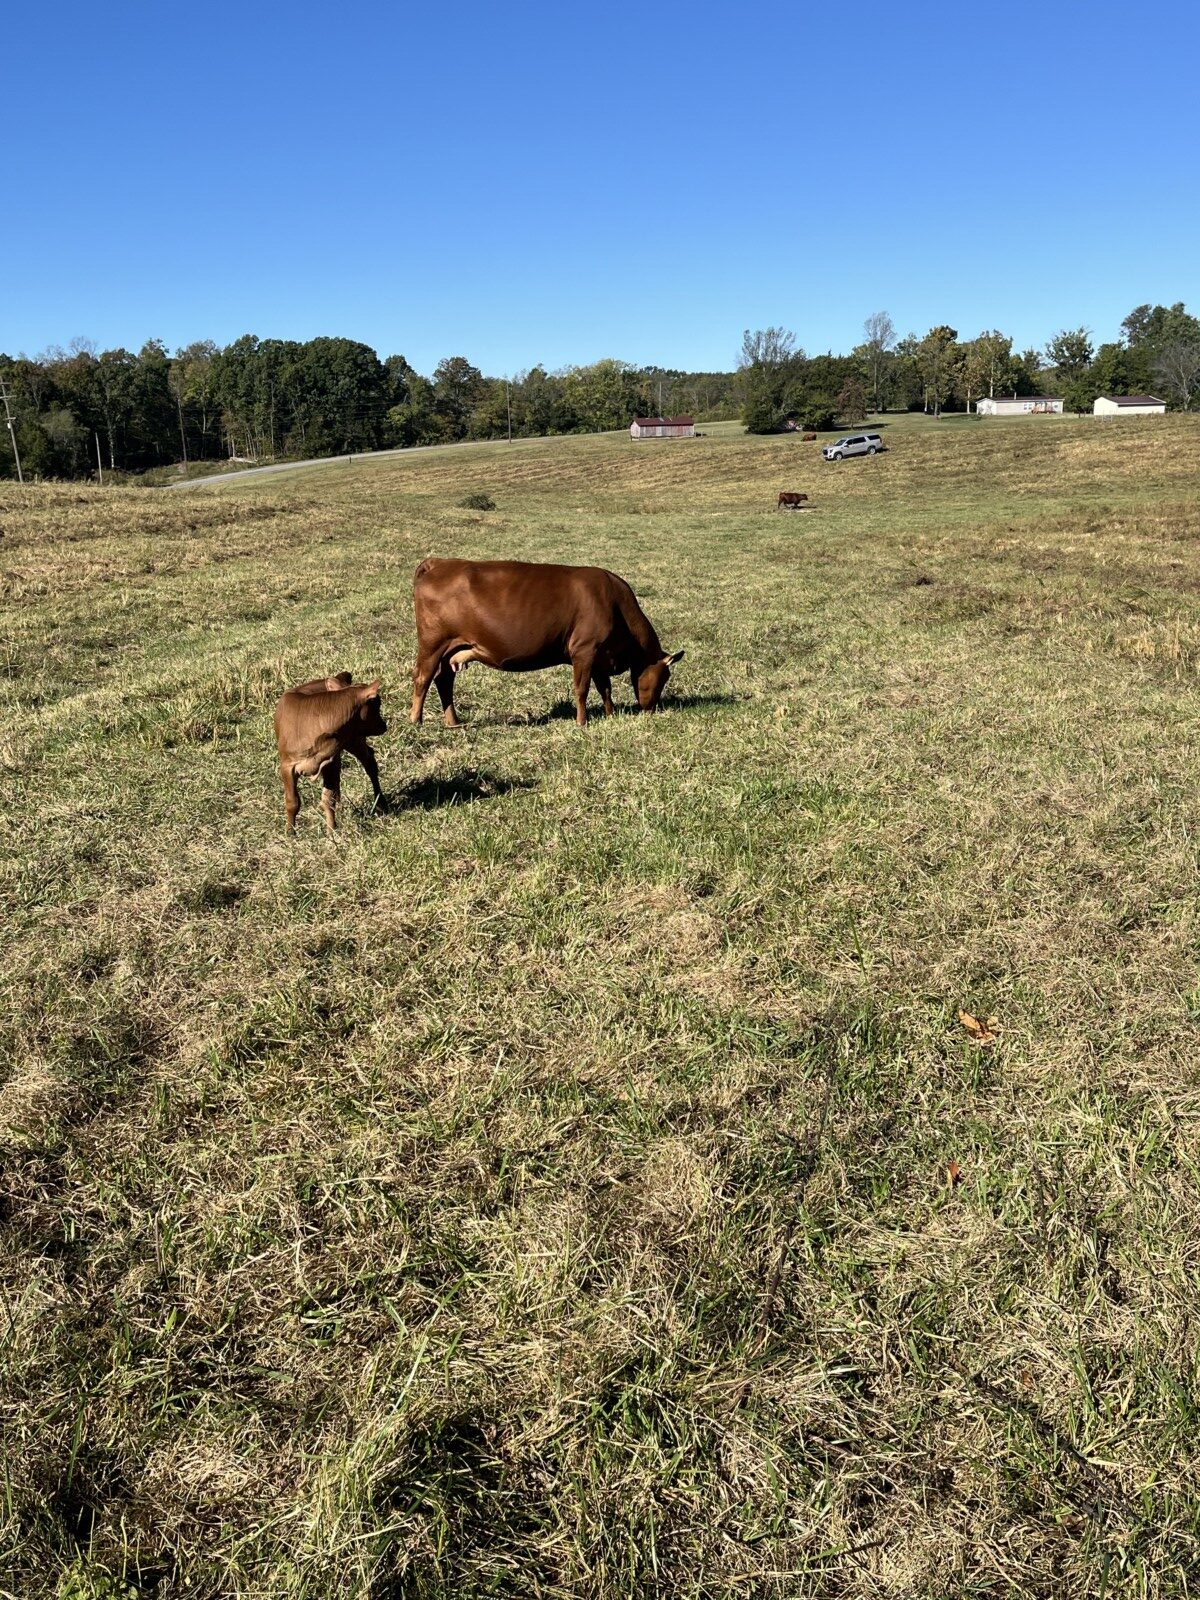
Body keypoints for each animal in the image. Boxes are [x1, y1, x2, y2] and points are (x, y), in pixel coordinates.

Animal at [273, 672, 388, 836]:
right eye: (375, 704)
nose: (384, 725)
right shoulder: (287, 765)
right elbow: (292, 801)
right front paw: (290, 832)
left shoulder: (330, 762)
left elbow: (328, 799)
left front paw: (331, 831)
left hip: (354, 739)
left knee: (370, 762)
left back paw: (381, 802)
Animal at [410, 558, 684, 728]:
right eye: (664, 676)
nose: (651, 709)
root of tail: (440, 562)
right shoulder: (584, 650)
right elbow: (582, 689)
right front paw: (582, 722)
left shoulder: (599, 656)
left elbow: (604, 688)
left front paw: (610, 714)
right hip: (432, 644)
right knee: (423, 677)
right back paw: (415, 720)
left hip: (452, 650)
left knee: (444, 680)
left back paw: (453, 722)